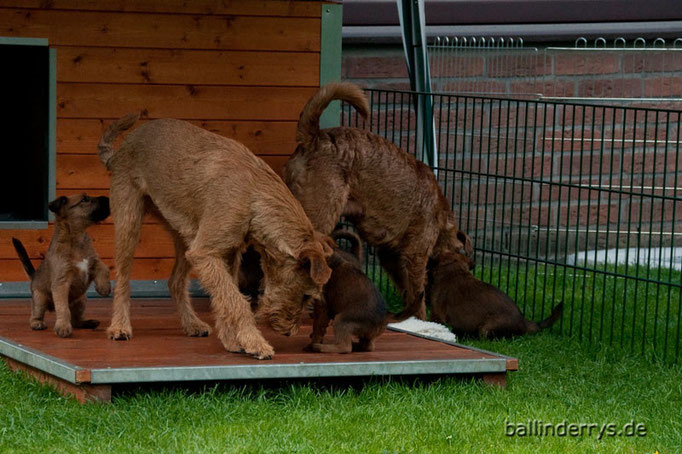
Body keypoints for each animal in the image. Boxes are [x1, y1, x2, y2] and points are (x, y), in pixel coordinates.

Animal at [10, 194, 110, 336]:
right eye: (84, 199)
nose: (108, 198)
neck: (76, 240)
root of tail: (34, 277)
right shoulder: (62, 282)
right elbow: (63, 309)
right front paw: (63, 327)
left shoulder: (93, 261)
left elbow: (103, 268)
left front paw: (104, 287)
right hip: (40, 298)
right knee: (36, 314)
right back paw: (37, 324)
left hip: (81, 300)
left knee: (76, 320)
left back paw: (87, 322)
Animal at [97, 112, 334, 358]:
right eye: (307, 296)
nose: (290, 332)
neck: (254, 197)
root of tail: (120, 150)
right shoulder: (205, 253)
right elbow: (235, 300)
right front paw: (255, 342)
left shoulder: (225, 254)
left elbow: (224, 298)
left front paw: (232, 340)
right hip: (129, 223)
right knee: (123, 279)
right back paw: (120, 326)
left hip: (184, 233)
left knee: (175, 281)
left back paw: (192, 324)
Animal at [284, 82, 470, 322]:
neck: (442, 215)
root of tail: (314, 137)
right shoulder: (416, 254)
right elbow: (417, 292)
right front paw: (420, 318)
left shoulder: (391, 256)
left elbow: (408, 290)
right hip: (319, 215)